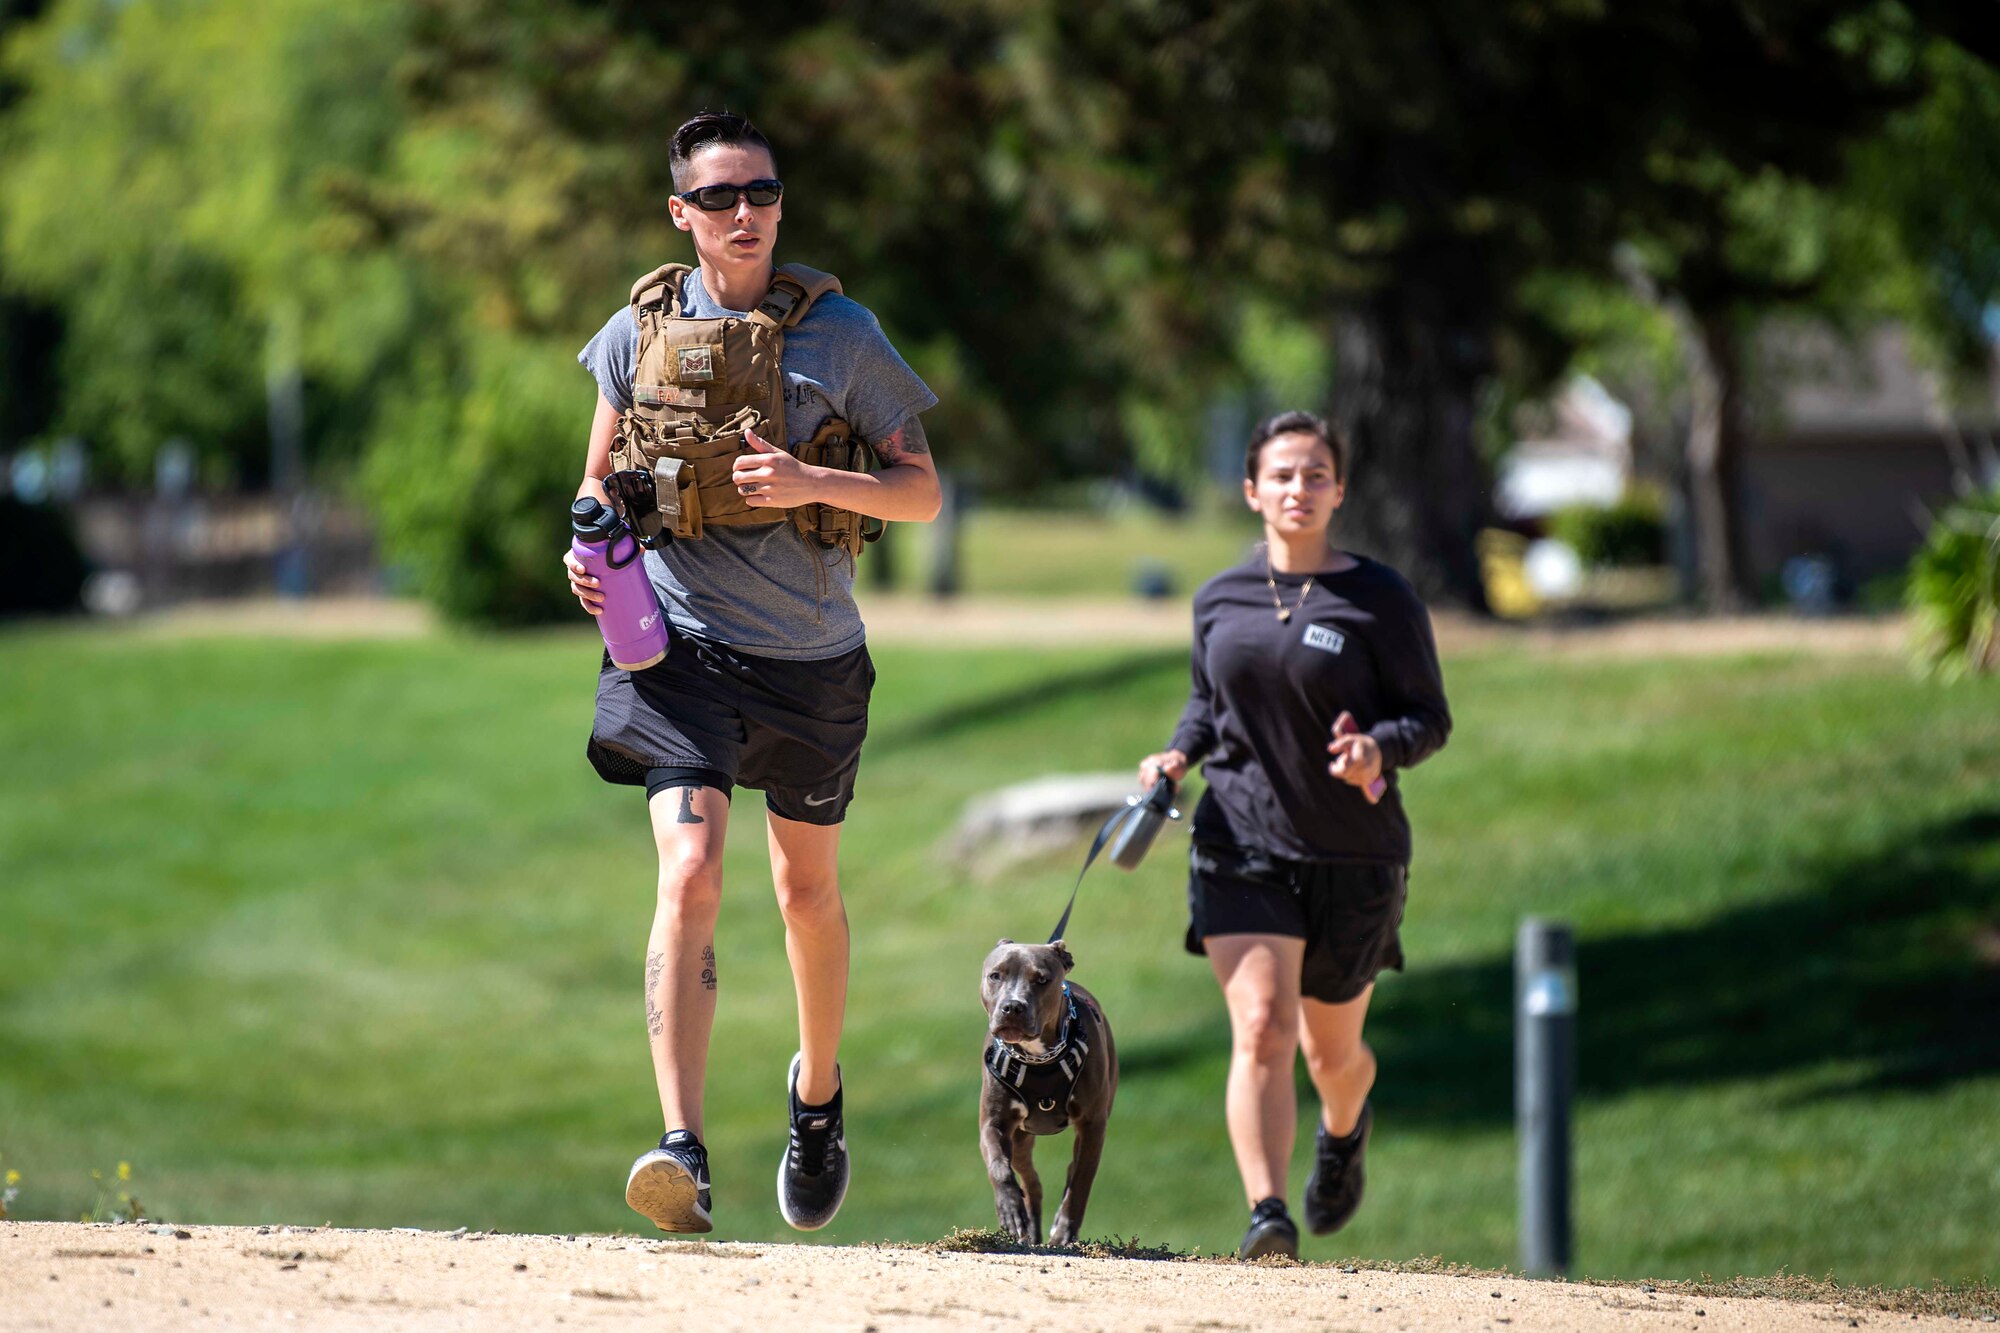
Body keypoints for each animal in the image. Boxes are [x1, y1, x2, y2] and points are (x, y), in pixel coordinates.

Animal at [980, 940, 1120, 1240]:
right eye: (995, 976)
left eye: (1041, 979)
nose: (1012, 1006)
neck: (1038, 1057)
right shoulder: (993, 1122)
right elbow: (998, 1165)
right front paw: (1009, 1208)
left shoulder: (1093, 1124)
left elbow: (1082, 1178)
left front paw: (1065, 1229)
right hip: (1021, 1139)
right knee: (1031, 1181)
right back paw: (1028, 1226)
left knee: (1073, 1168)